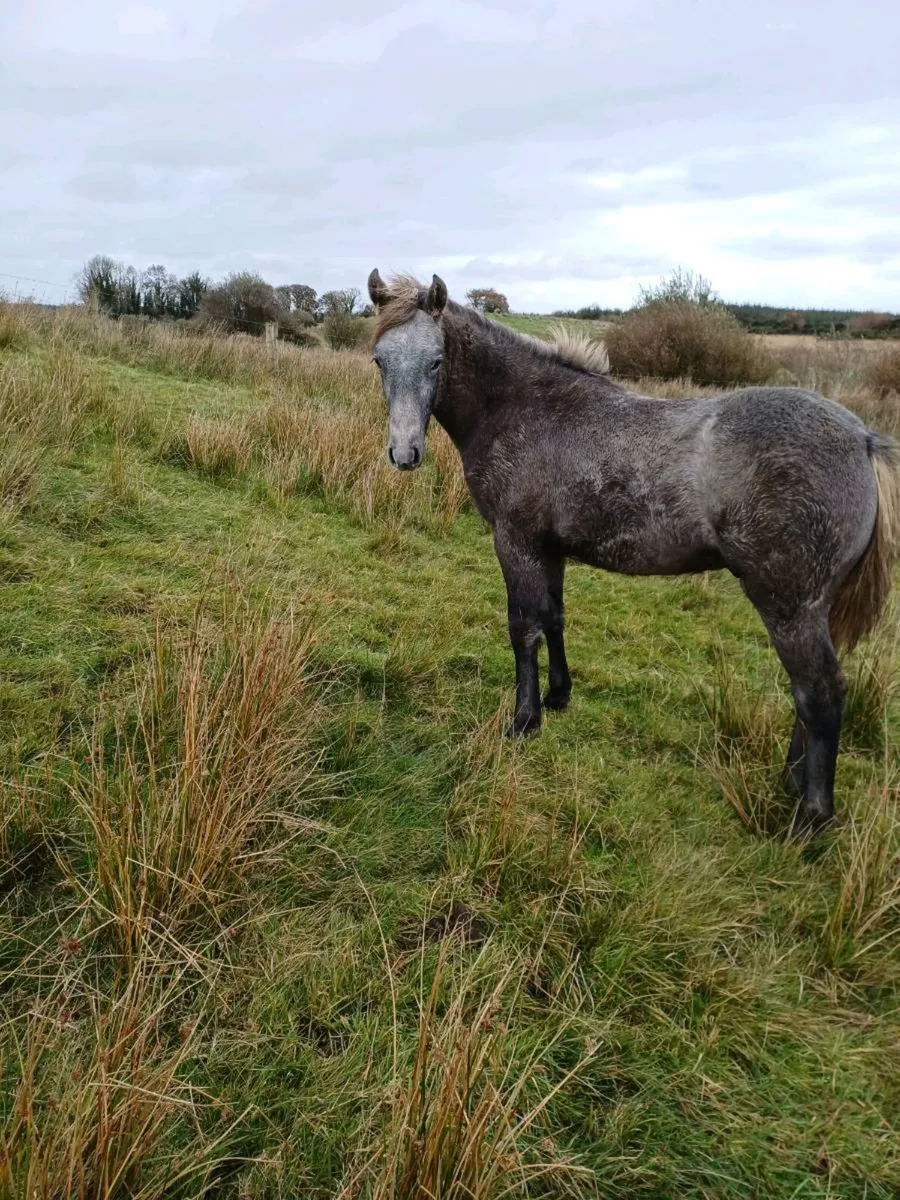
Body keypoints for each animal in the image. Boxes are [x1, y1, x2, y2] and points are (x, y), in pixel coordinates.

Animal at [365, 269, 900, 839]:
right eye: (379, 359)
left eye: (435, 360)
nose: (404, 453)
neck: (523, 407)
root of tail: (863, 439)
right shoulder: (550, 549)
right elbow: (553, 618)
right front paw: (557, 698)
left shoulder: (516, 543)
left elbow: (523, 629)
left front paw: (523, 721)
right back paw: (791, 784)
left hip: (789, 606)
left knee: (819, 693)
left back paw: (808, 819)